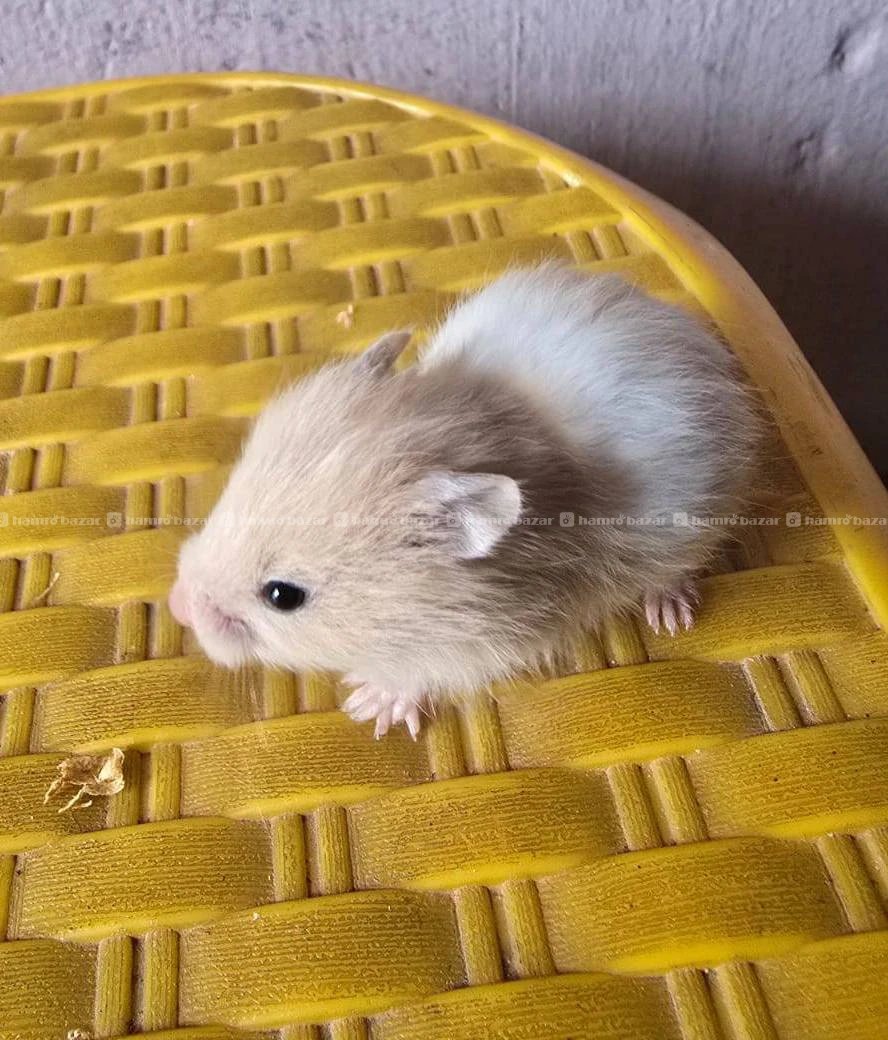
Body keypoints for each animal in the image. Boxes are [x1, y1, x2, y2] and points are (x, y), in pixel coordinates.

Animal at [169, 264, 760, 738]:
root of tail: (696, 342)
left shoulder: (479, 647)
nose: (177, 606)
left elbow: (417, 674)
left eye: (282, 596)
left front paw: (367, 708)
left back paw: (670, 616)